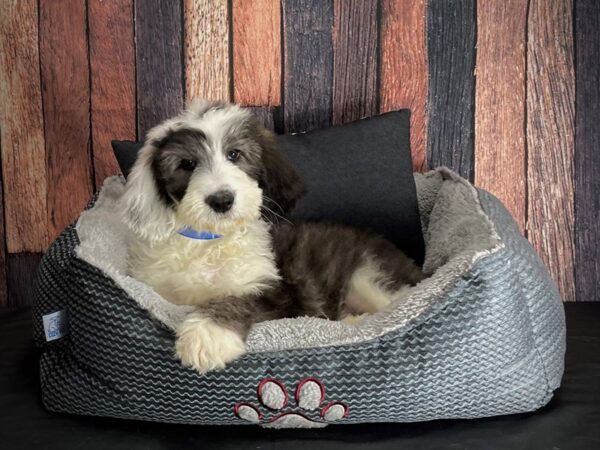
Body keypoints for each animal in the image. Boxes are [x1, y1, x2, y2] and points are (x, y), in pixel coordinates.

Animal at [120, 101, 422, 372]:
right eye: (188, 163)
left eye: (234, 155)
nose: (221, 200)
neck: (210, 240)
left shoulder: (278, 294)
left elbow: (238, 300)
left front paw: (207, 335)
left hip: (368, 277)